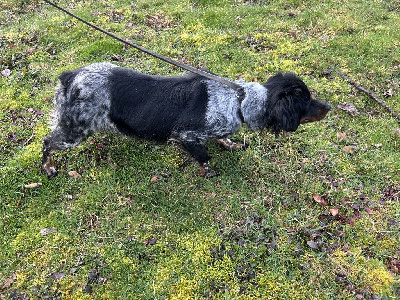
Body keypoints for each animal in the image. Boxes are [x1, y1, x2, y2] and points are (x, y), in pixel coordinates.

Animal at [41, 61, 332, 177]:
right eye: (305, 102)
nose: (329, 106)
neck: (239, 101)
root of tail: (70, 76)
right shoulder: (186, 136)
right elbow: (204, 157)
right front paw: (209, 171)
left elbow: (222, 140)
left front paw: (228, 143)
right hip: (73, 132)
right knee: (46, 143)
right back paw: (48, 168)